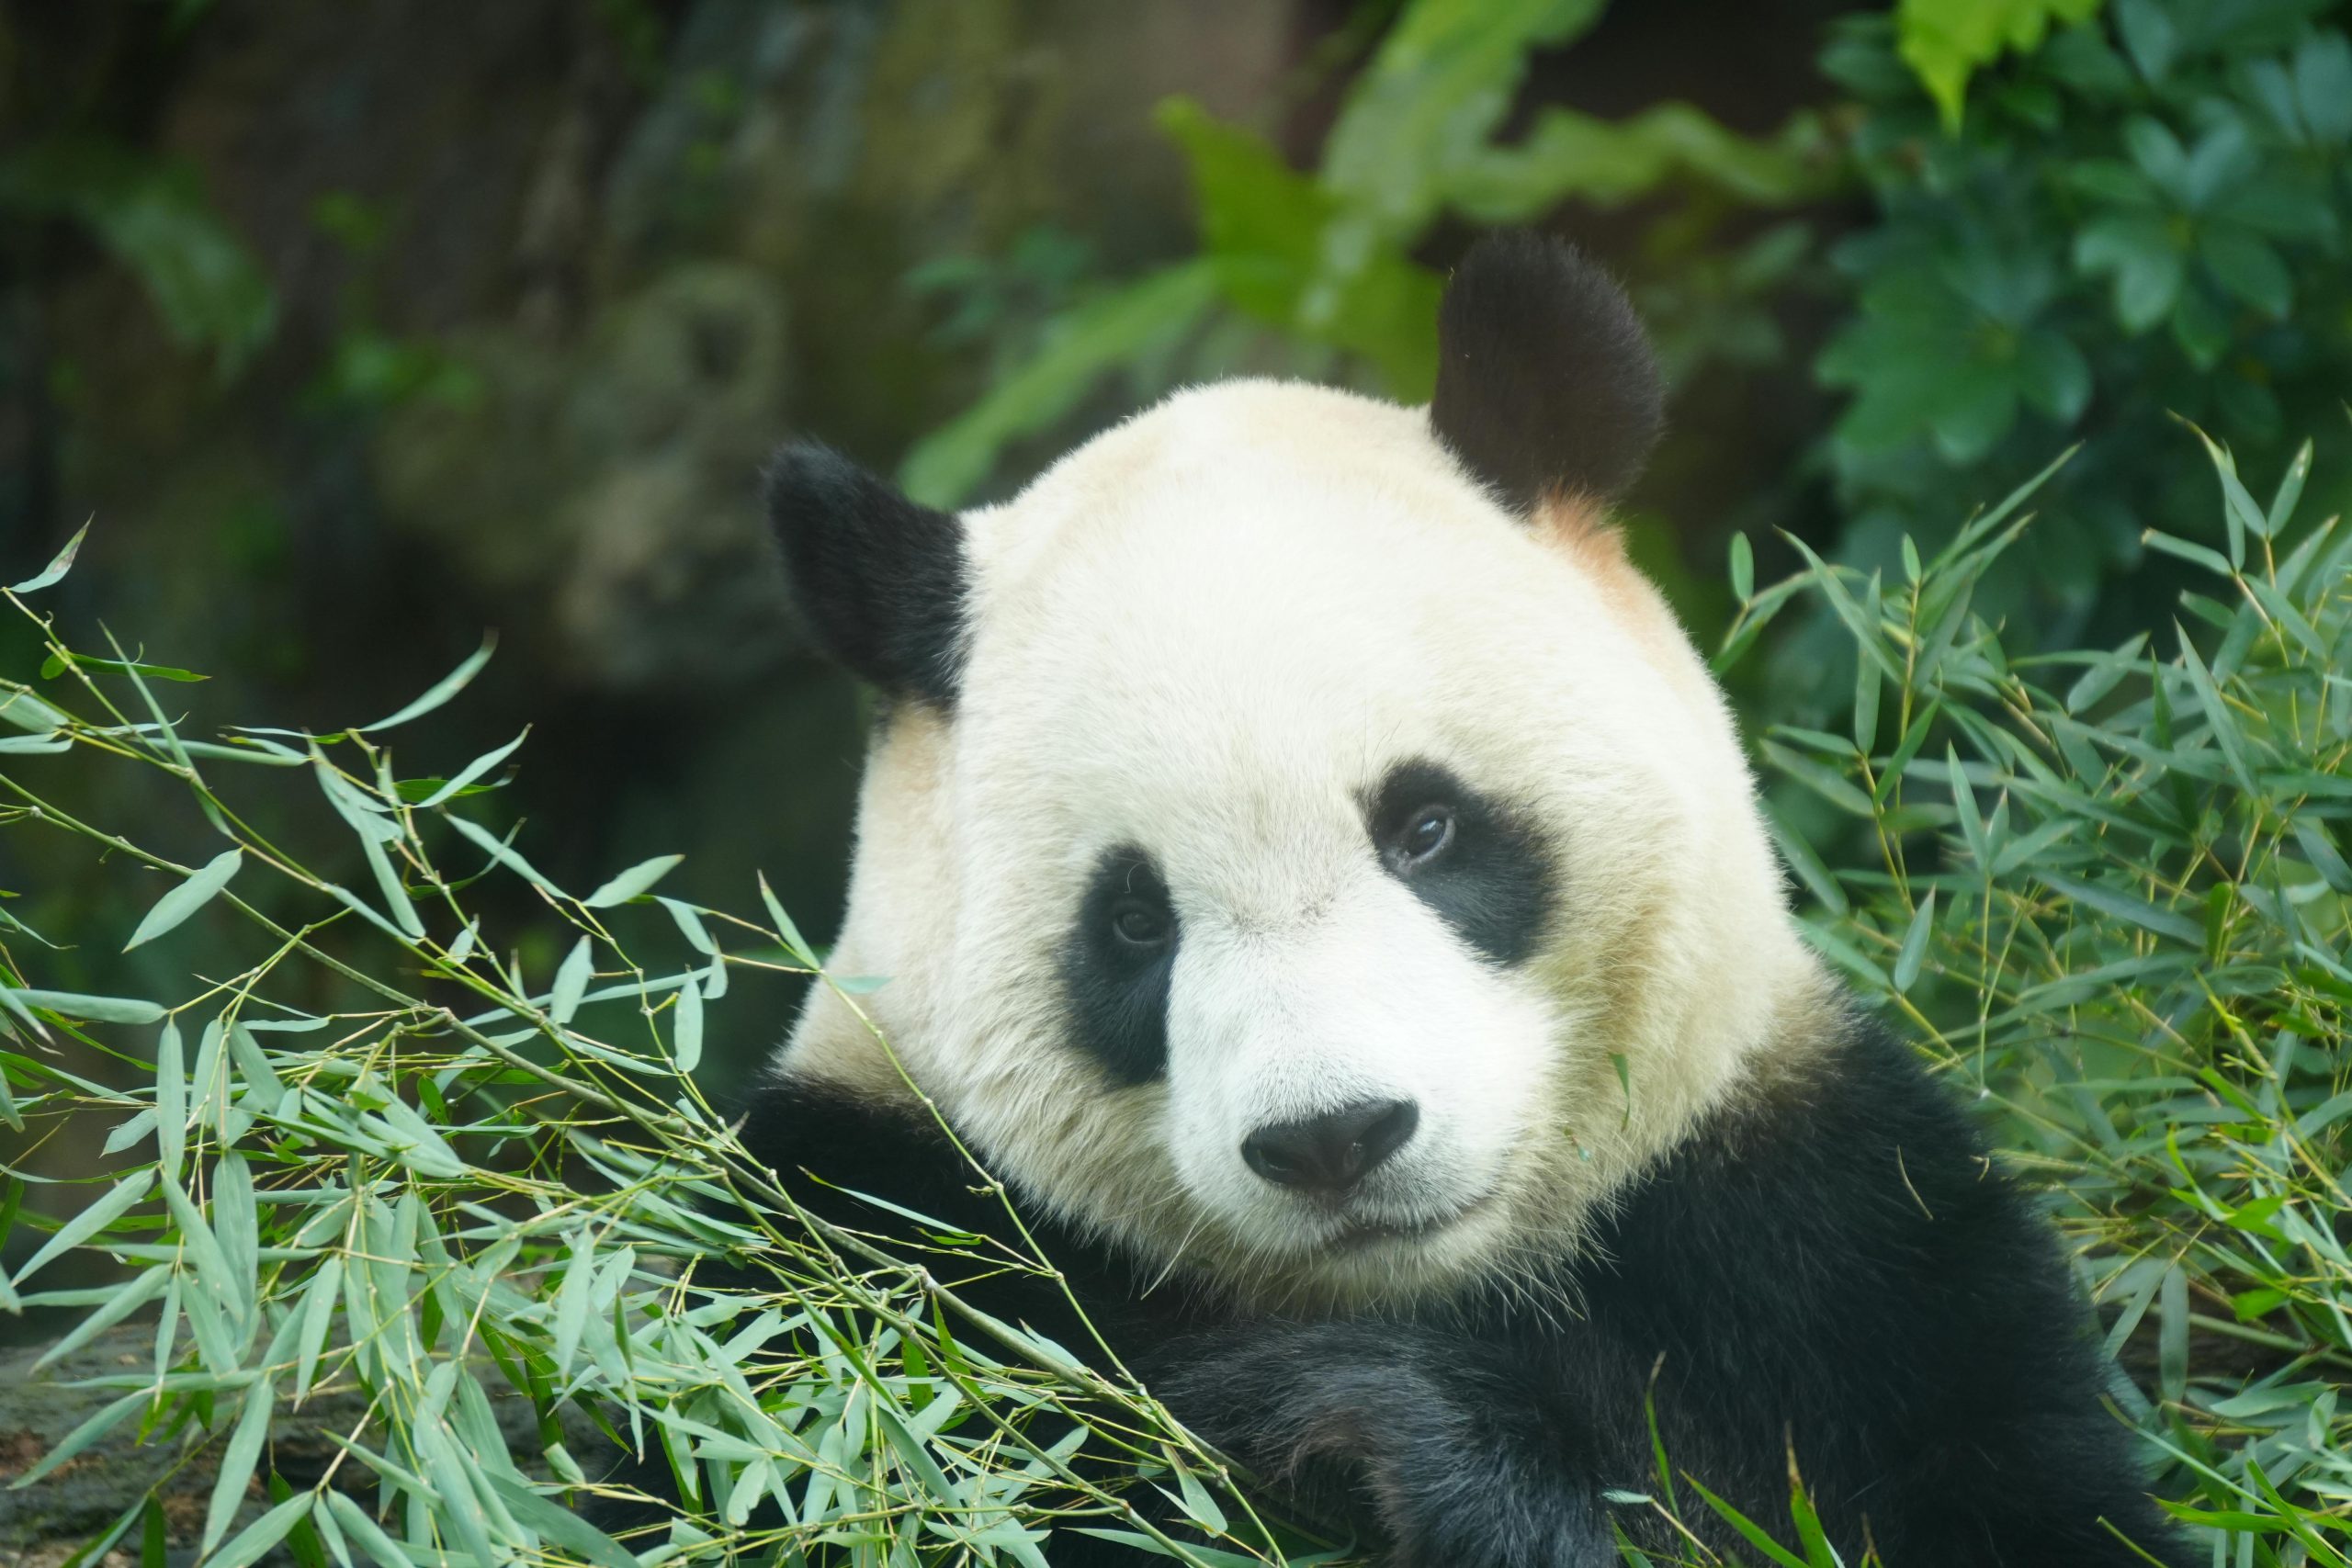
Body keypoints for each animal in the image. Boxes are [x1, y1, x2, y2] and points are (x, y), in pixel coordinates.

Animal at [719, 236, 2182, 1568]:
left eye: (1426, 829)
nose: (1333, 1136)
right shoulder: (865, 1254)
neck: (1451, 1288)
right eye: (1133, 921)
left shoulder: (1827, 1247)